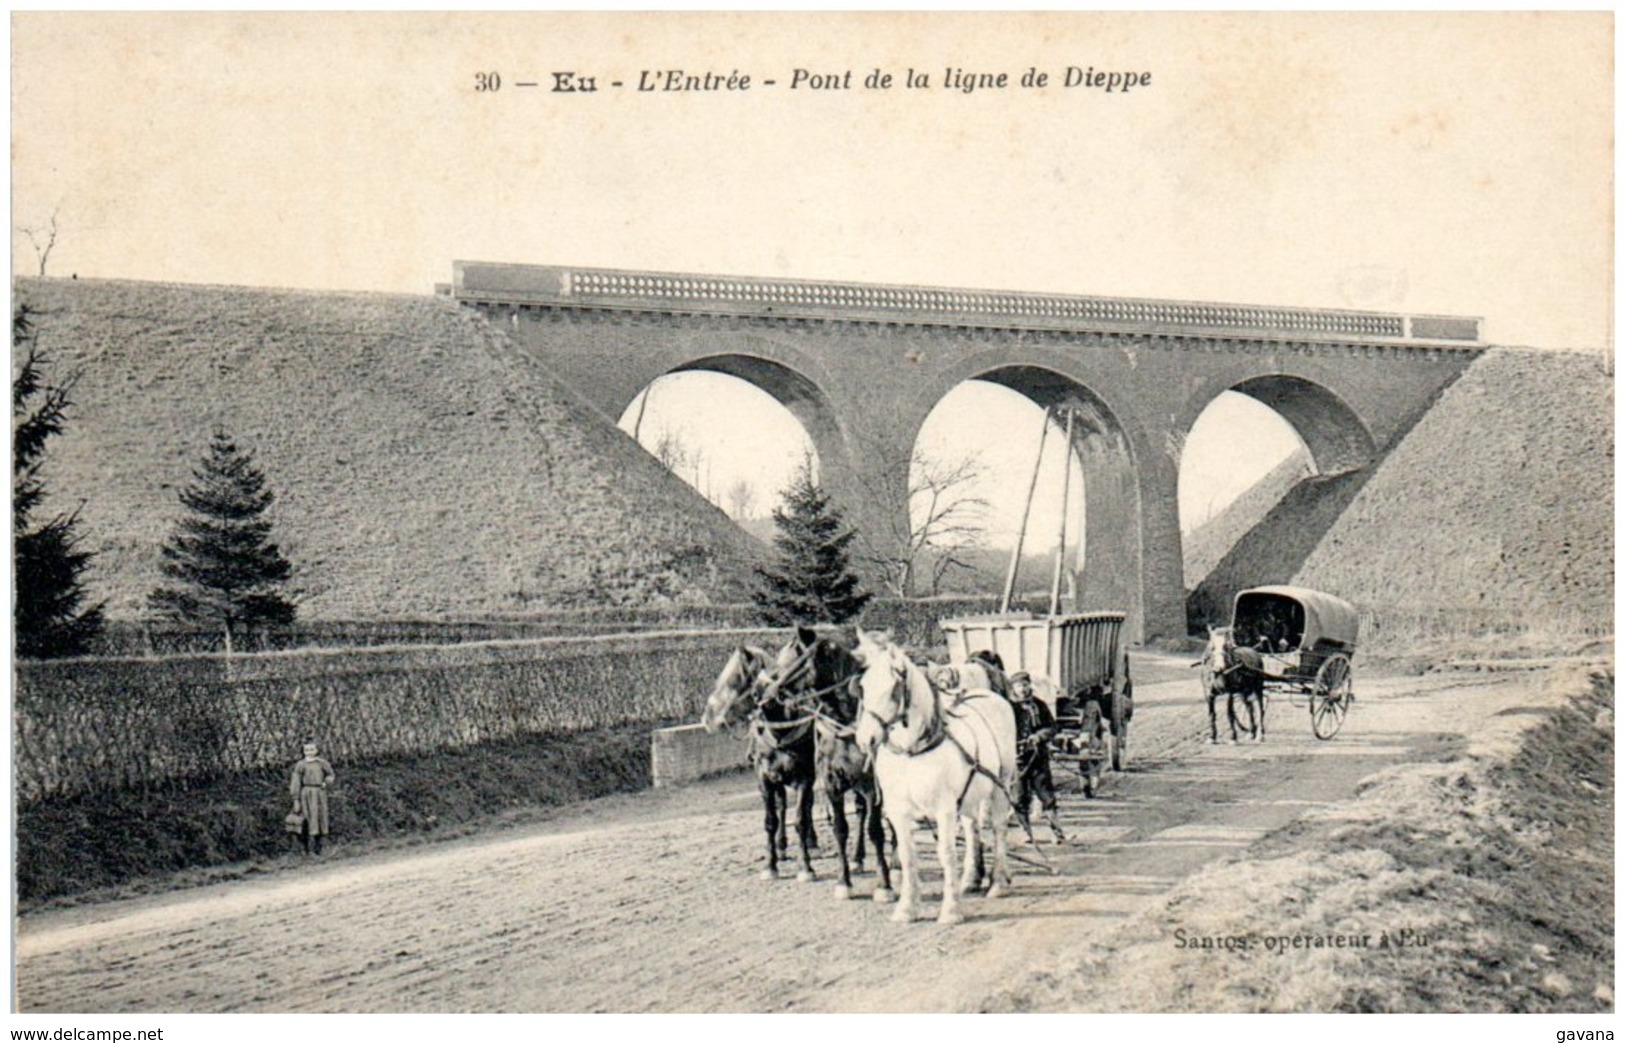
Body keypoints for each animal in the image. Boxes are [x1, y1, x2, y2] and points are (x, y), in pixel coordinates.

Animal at [702, 643, 825, 877]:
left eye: (733, 680)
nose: (707, 718)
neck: (780, 730)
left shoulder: (805, 776)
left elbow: (801, 819)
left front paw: (805, 866)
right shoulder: (765, 777)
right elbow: (771, 820)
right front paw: (771, 865)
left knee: (808, 806)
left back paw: (811, 842)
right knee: (782, 806)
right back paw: (782, 846)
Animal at [763, 623, 897, 903]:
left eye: (796, 662)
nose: (770, 695)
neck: (845, 726)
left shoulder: (872, 786)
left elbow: (875, 830)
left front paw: (884, 884)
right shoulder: (833, 783)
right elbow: (840, 829)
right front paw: (843, 881)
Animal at [851, 630, 1014, 922]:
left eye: (893, 688)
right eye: (863, 686)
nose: (864, 739)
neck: (912, 753)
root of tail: (987, 695)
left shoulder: (944, 809)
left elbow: (946, 854)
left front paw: (950, 910)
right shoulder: (898, 810)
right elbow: (907, 856)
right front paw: (906, 908)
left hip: (1000, 786)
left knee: (998, 828)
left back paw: (997, 882)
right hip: (969, 797)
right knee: (972, 829)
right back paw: (971, 879)